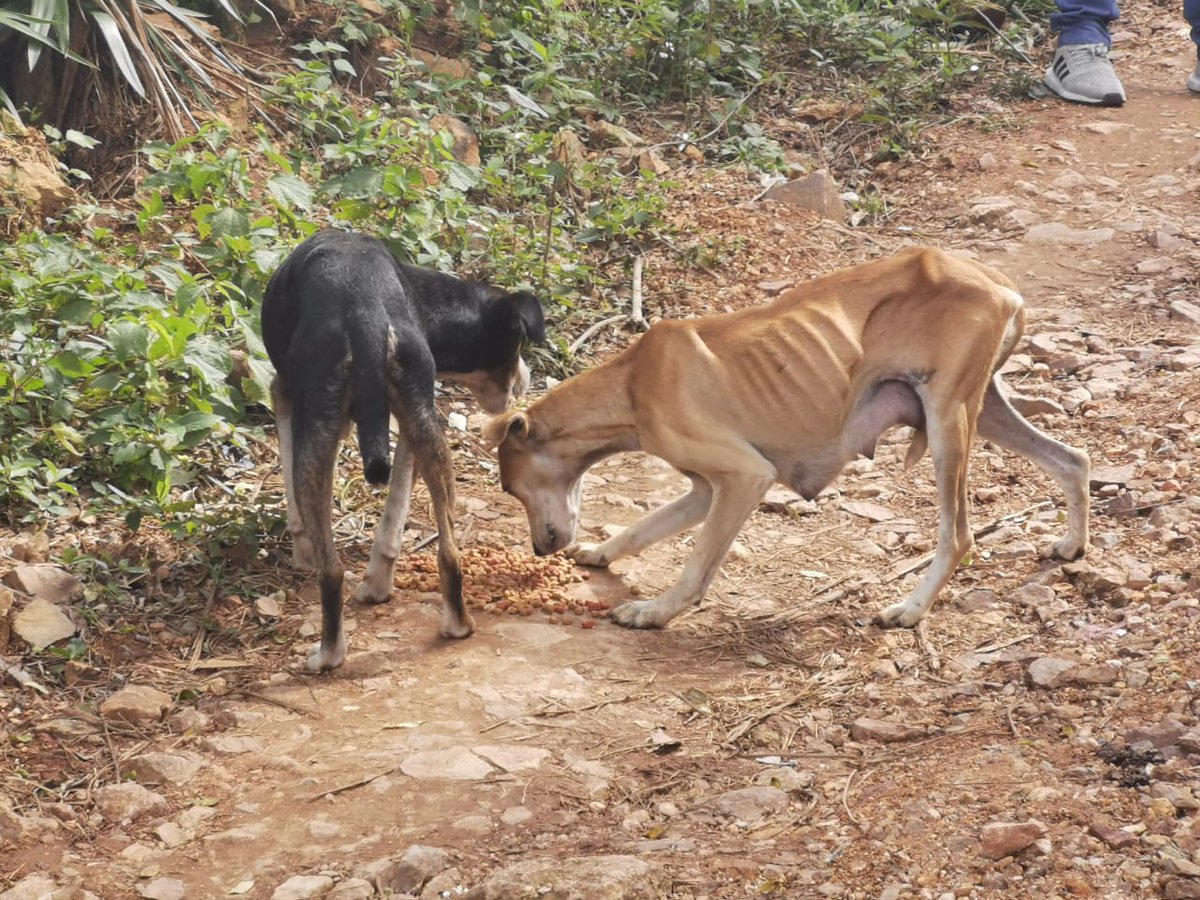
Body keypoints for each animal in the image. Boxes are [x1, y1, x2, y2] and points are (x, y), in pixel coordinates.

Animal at [264, 229, 549, 672]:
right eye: (516, 348)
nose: (526, 380)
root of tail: (365, 311)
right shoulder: (414, 417)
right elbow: (393, 518)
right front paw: (378, 582)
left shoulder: (283, 392)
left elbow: (294, 504)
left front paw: (302, 550)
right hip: (429, 429)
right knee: (449, 552)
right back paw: (456, 624)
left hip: (317, 428)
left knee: (331, 571)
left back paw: (328, 653)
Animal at [482, 243, 1094, 628]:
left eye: (511, 488)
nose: (540, 550)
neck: (632, 382)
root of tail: (999, 284)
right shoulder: (705, 489)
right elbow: (643, 528)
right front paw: (601, 552)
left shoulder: (744, 478)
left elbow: (697, 565)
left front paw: (655, 611)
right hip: (980, 408)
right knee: (1074, 459)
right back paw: (1071, 542)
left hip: (948, 424)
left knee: (959, 536)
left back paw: (910, 609)